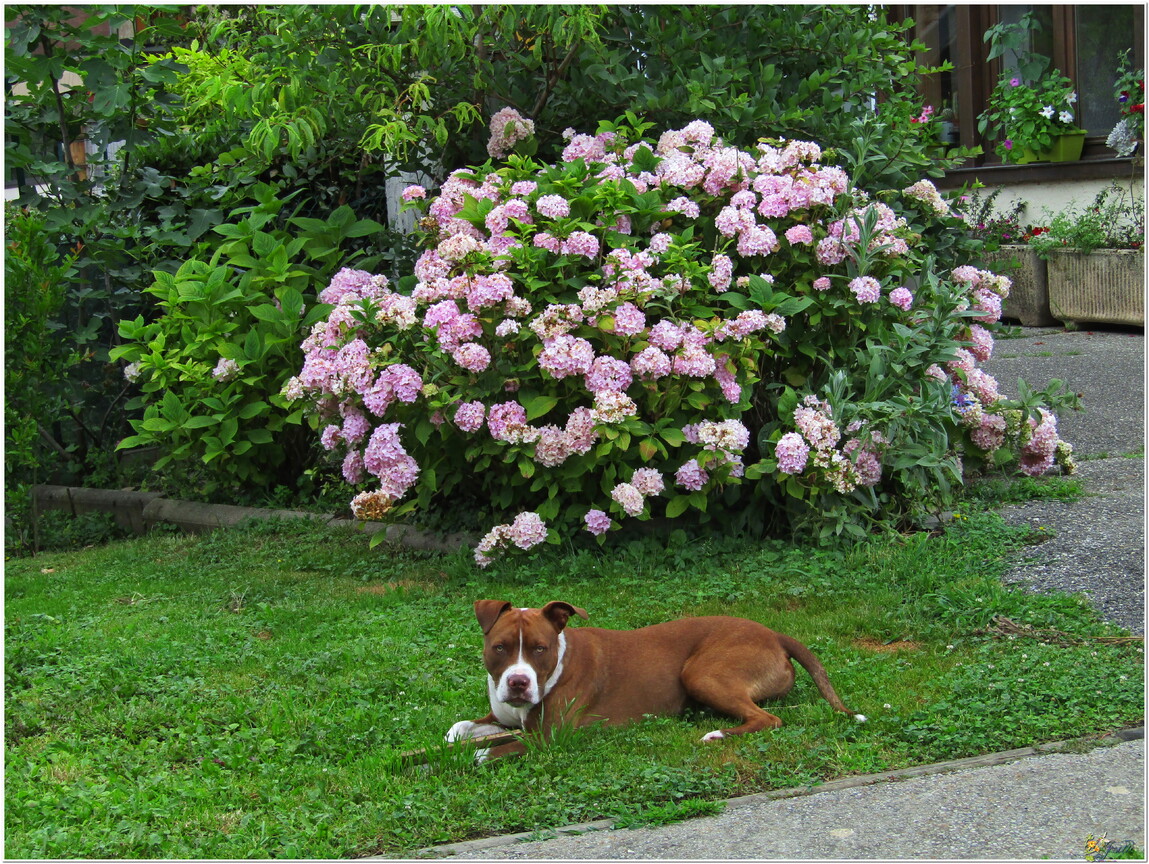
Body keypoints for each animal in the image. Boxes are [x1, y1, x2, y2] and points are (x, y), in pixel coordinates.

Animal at [443, 602, 864, 753]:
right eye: (500, 648)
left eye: (540, 649)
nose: (518, 683)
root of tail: (775, 634)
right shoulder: (503, 718)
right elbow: (461, 727)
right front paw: (454, 739)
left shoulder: (550, 737)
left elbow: (489, 750)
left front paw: (468, 757)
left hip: (701, 673)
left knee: (767, 718)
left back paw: (717, 735)